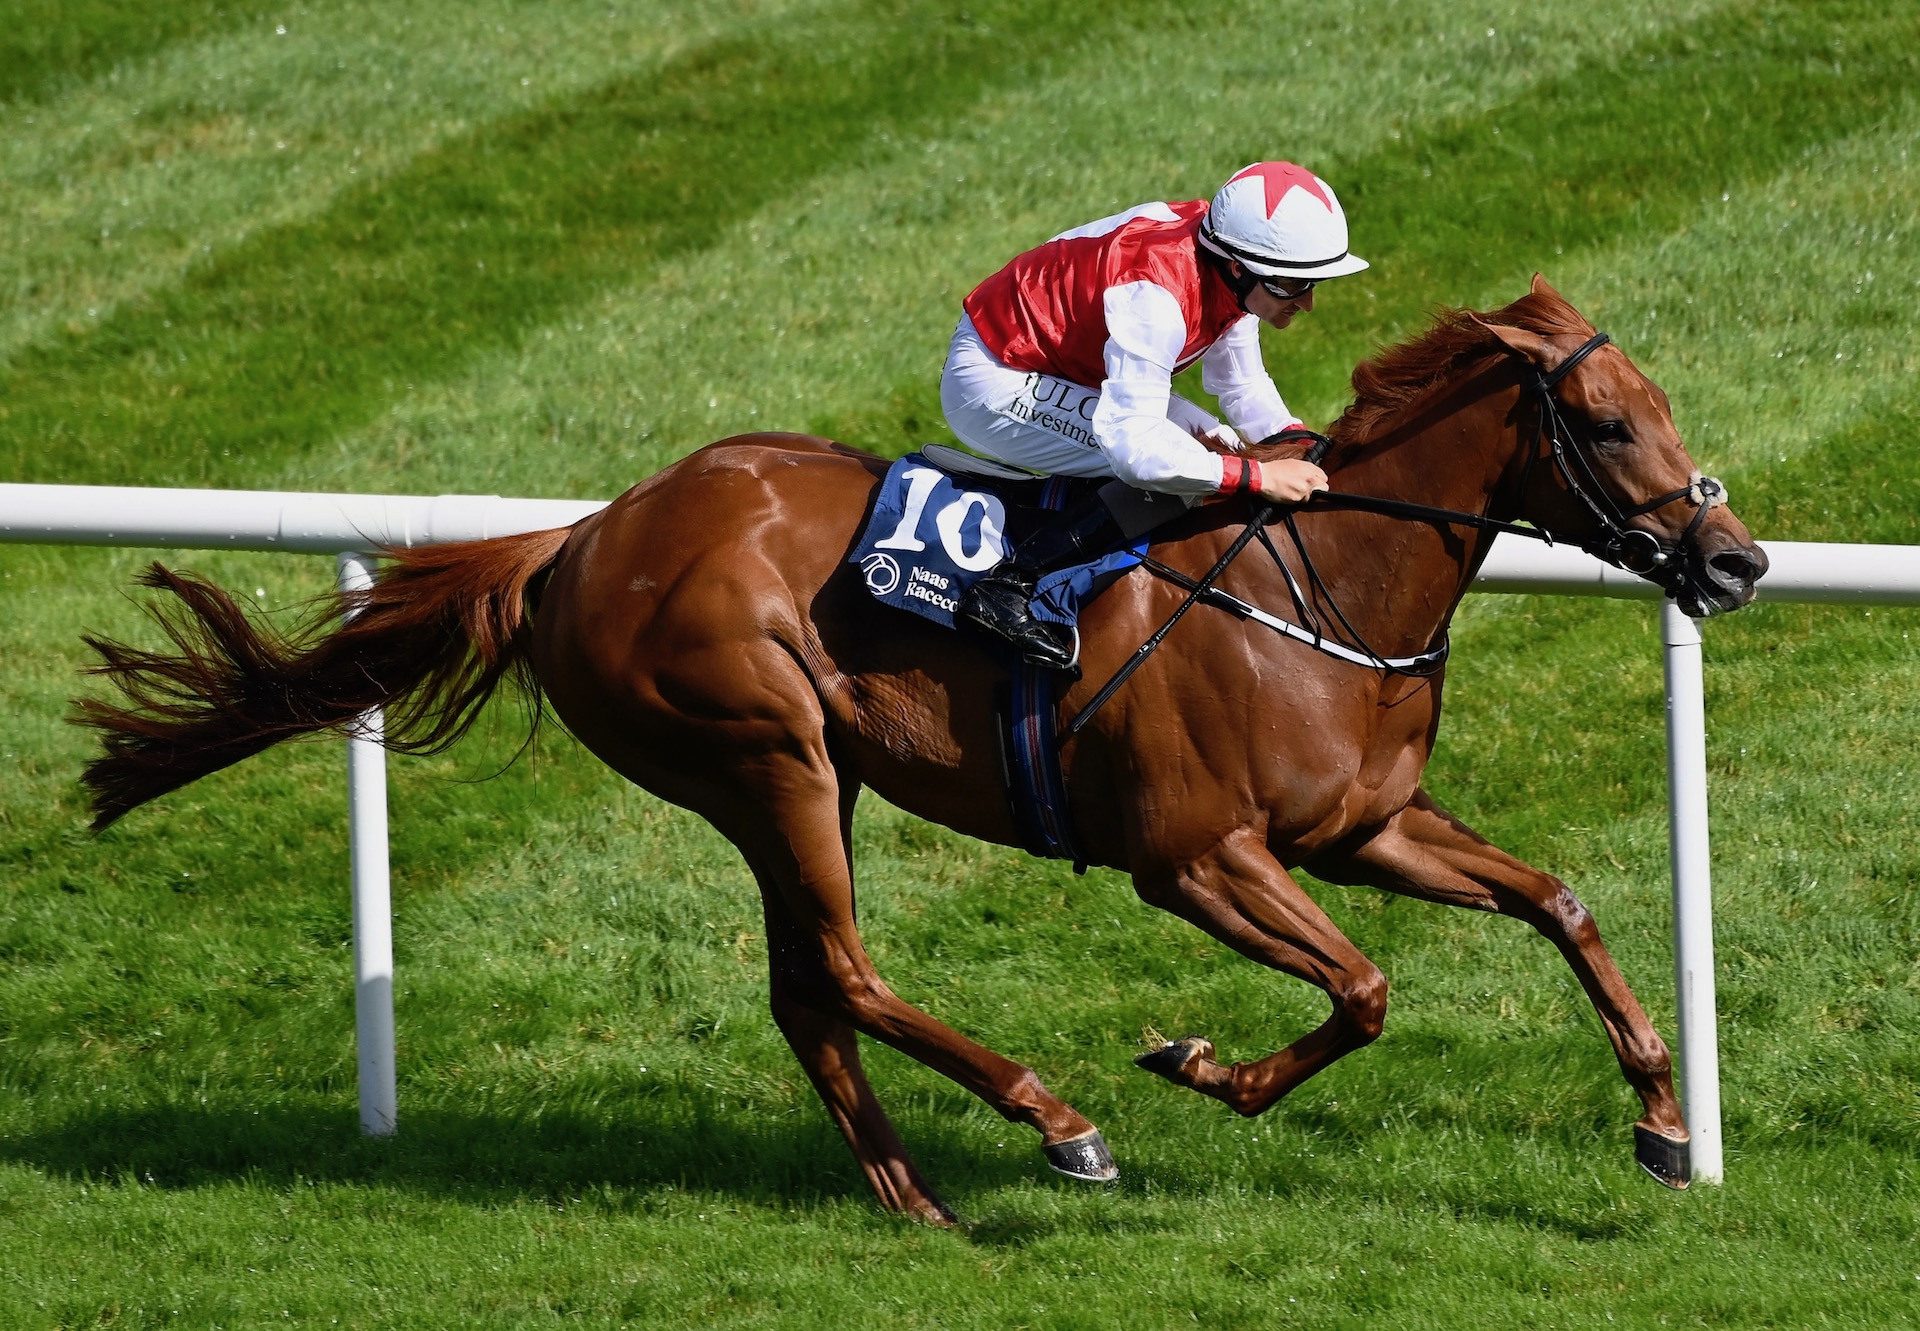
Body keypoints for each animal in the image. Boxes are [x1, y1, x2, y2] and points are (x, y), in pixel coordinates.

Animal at [86, 274, 1766, 1221]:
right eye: (1609, 424)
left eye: (1662, 408)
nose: (1738, 560)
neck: (1323, 586)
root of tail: (586, 534)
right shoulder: (1194, 857)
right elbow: (1361, 989)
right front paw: (1199, 1063)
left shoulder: (1361, 827)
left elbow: (1558, 900)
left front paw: (1665, 1119)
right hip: (766, 748)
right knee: (842, 966)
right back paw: (1057, 1121)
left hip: (776, 773)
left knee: (804, 988)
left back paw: (913, 1194)